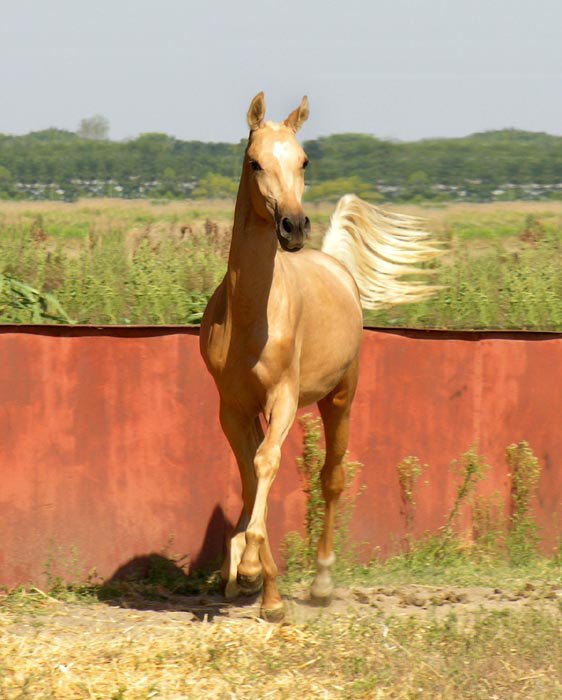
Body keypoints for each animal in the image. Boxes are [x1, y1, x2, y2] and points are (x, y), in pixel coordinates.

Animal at [199, 91, 440, 616]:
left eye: (304, 160)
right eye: (255, 162)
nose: (294, 226)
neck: (251, 318)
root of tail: (333, 264)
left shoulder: (285, 399)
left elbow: (267, 464)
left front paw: (251, 569)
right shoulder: (232, 408)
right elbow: (250, 473)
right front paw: (252, 580)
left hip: (340, 397)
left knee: (332, 477)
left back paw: (323, 581)